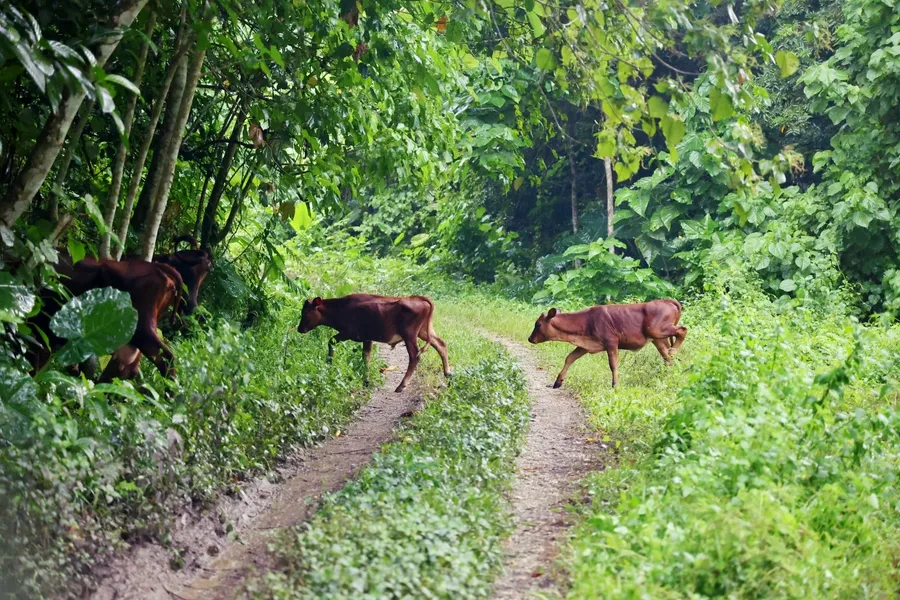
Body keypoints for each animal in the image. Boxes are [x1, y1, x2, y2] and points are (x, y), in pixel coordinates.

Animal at [296, 293, 451, 393]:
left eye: (305, 313)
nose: (299, 329)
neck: (340, 308)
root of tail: (418, 298)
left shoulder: (348, 333)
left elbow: (331, 341)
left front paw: (329, 363)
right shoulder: (367, 338)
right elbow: (366, 357)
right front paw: (366, 381)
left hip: (409, 334)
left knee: (415, 356)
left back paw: (401, 385)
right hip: (424, 331)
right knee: (441, 344)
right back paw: (448, 373)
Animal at [528, 299, 687, 388]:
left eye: (538, 324)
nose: (530, 339)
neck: (585, 321)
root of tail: (667, 300)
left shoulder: (611, 342)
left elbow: (613, 365)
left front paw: (615, 385)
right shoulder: (585, 345)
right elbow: (570, 358)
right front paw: (558, 382)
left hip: (657, 330)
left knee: (682, 330)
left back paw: (674, 350)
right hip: (658, 338)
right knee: (667, 357)